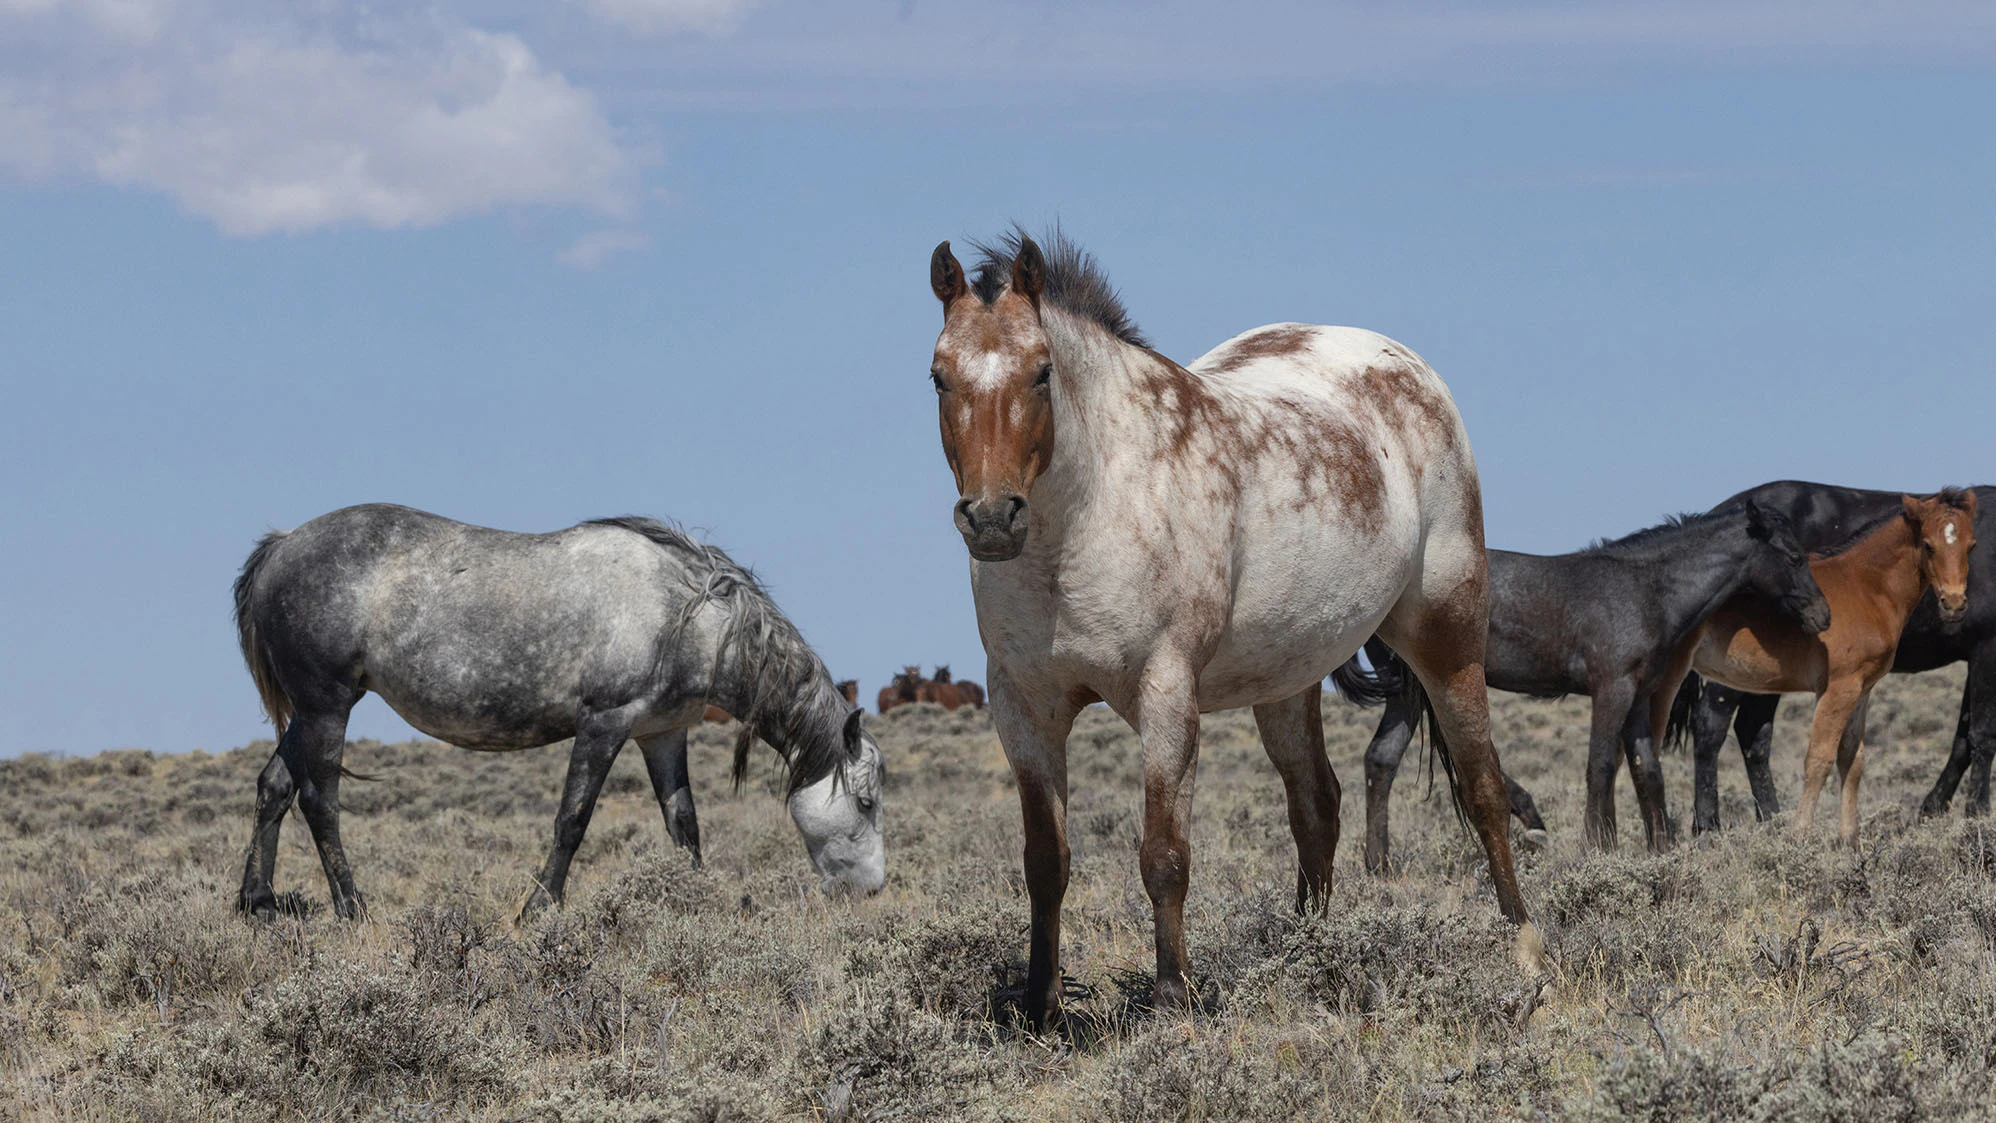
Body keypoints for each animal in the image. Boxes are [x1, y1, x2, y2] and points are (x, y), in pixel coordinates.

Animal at [232, 504, 887, 921]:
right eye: (865, 801)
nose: (873, 892)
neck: (684, 615)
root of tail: (281, 545)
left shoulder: (662, 735)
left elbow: (684, 826)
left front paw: (696, 903)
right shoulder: (605, 724)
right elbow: (572, 819)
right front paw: (538, 907)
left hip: (309, 713)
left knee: (273, 787)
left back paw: (257, 905)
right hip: (327, 706)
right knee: (319, 802)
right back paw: (353, 908)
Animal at [927, 228, 1537, 1028]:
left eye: (1041, 372)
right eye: (939, 376)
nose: (994, 518)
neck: (1085, 518)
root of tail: (1406, 366)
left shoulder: (1165, 693)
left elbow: (1163, 856)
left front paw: (1171, 1000)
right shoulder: (1023, 706)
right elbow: (1045, 862)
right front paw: (1040, 1009)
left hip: (1448, 637)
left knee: (1483, 787)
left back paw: (1526, 948)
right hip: (1286, 679)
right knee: (1317, 807)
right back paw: (1308, 956)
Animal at [1350, 500, 1832, 866]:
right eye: (1794, 556)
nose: (1822, 615)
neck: (1642, 590)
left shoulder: (1638, 698)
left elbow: (1645, 769)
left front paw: (1660, 848)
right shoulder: (1611, 689)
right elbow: (1600, 765)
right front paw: (1596, 846)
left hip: (1411, 694)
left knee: (1381, 758)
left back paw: (1380, 865)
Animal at [1675, 482, 1996, 832]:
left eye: (1972, 546)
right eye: (1927, 545)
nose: (1954, 604)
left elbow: (1955, 739)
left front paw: (1929, 809)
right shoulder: (1985, 649)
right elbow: (1982, 733)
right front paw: (1977, 813)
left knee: (1752, 733)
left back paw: (1771, 820)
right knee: (1710, 727)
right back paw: (1709, 825)